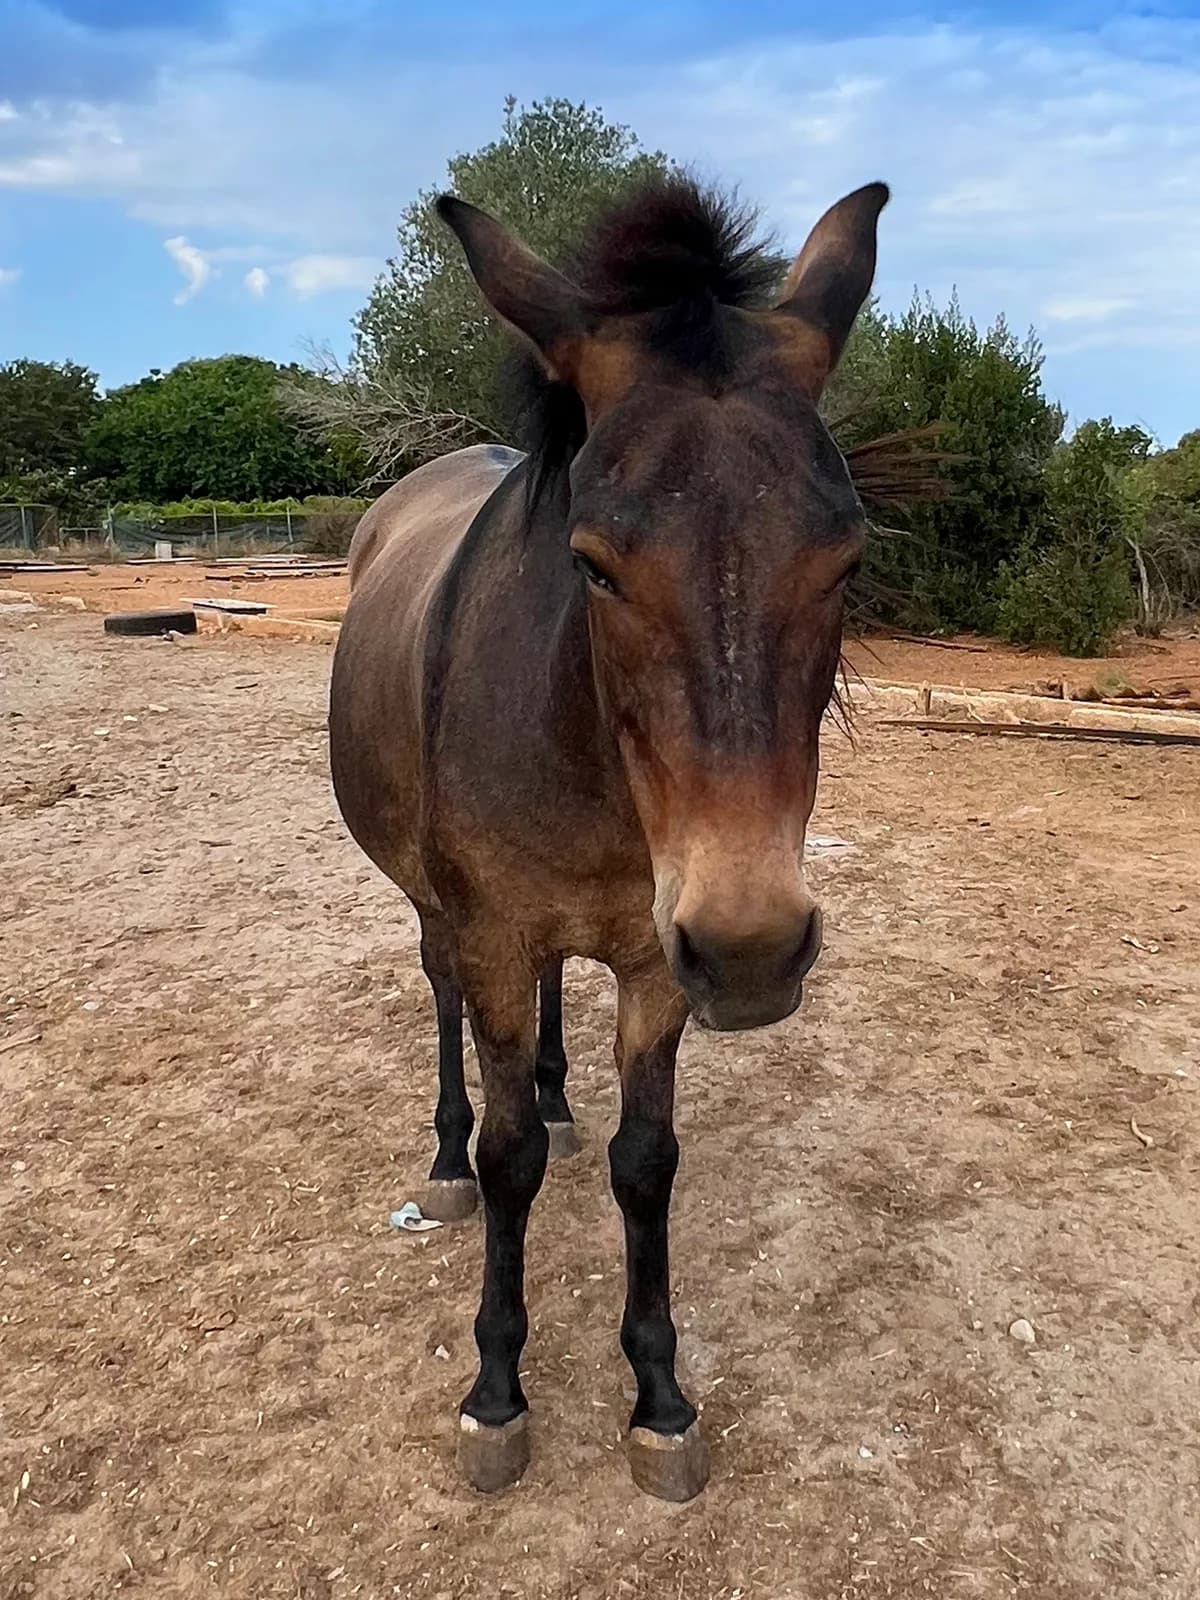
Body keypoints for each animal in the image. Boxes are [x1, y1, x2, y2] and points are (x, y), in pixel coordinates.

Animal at [329, 174, 888, 1501]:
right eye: (592, 562)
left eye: (845, 558)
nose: (753, 949)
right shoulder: (494, 935)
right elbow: (510, 1156)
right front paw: (496, 1390)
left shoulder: (654, 959)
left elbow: (647, 1159)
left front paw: (660, 1398)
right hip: (439, 914)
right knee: (445, 1012)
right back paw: (443, 1159)